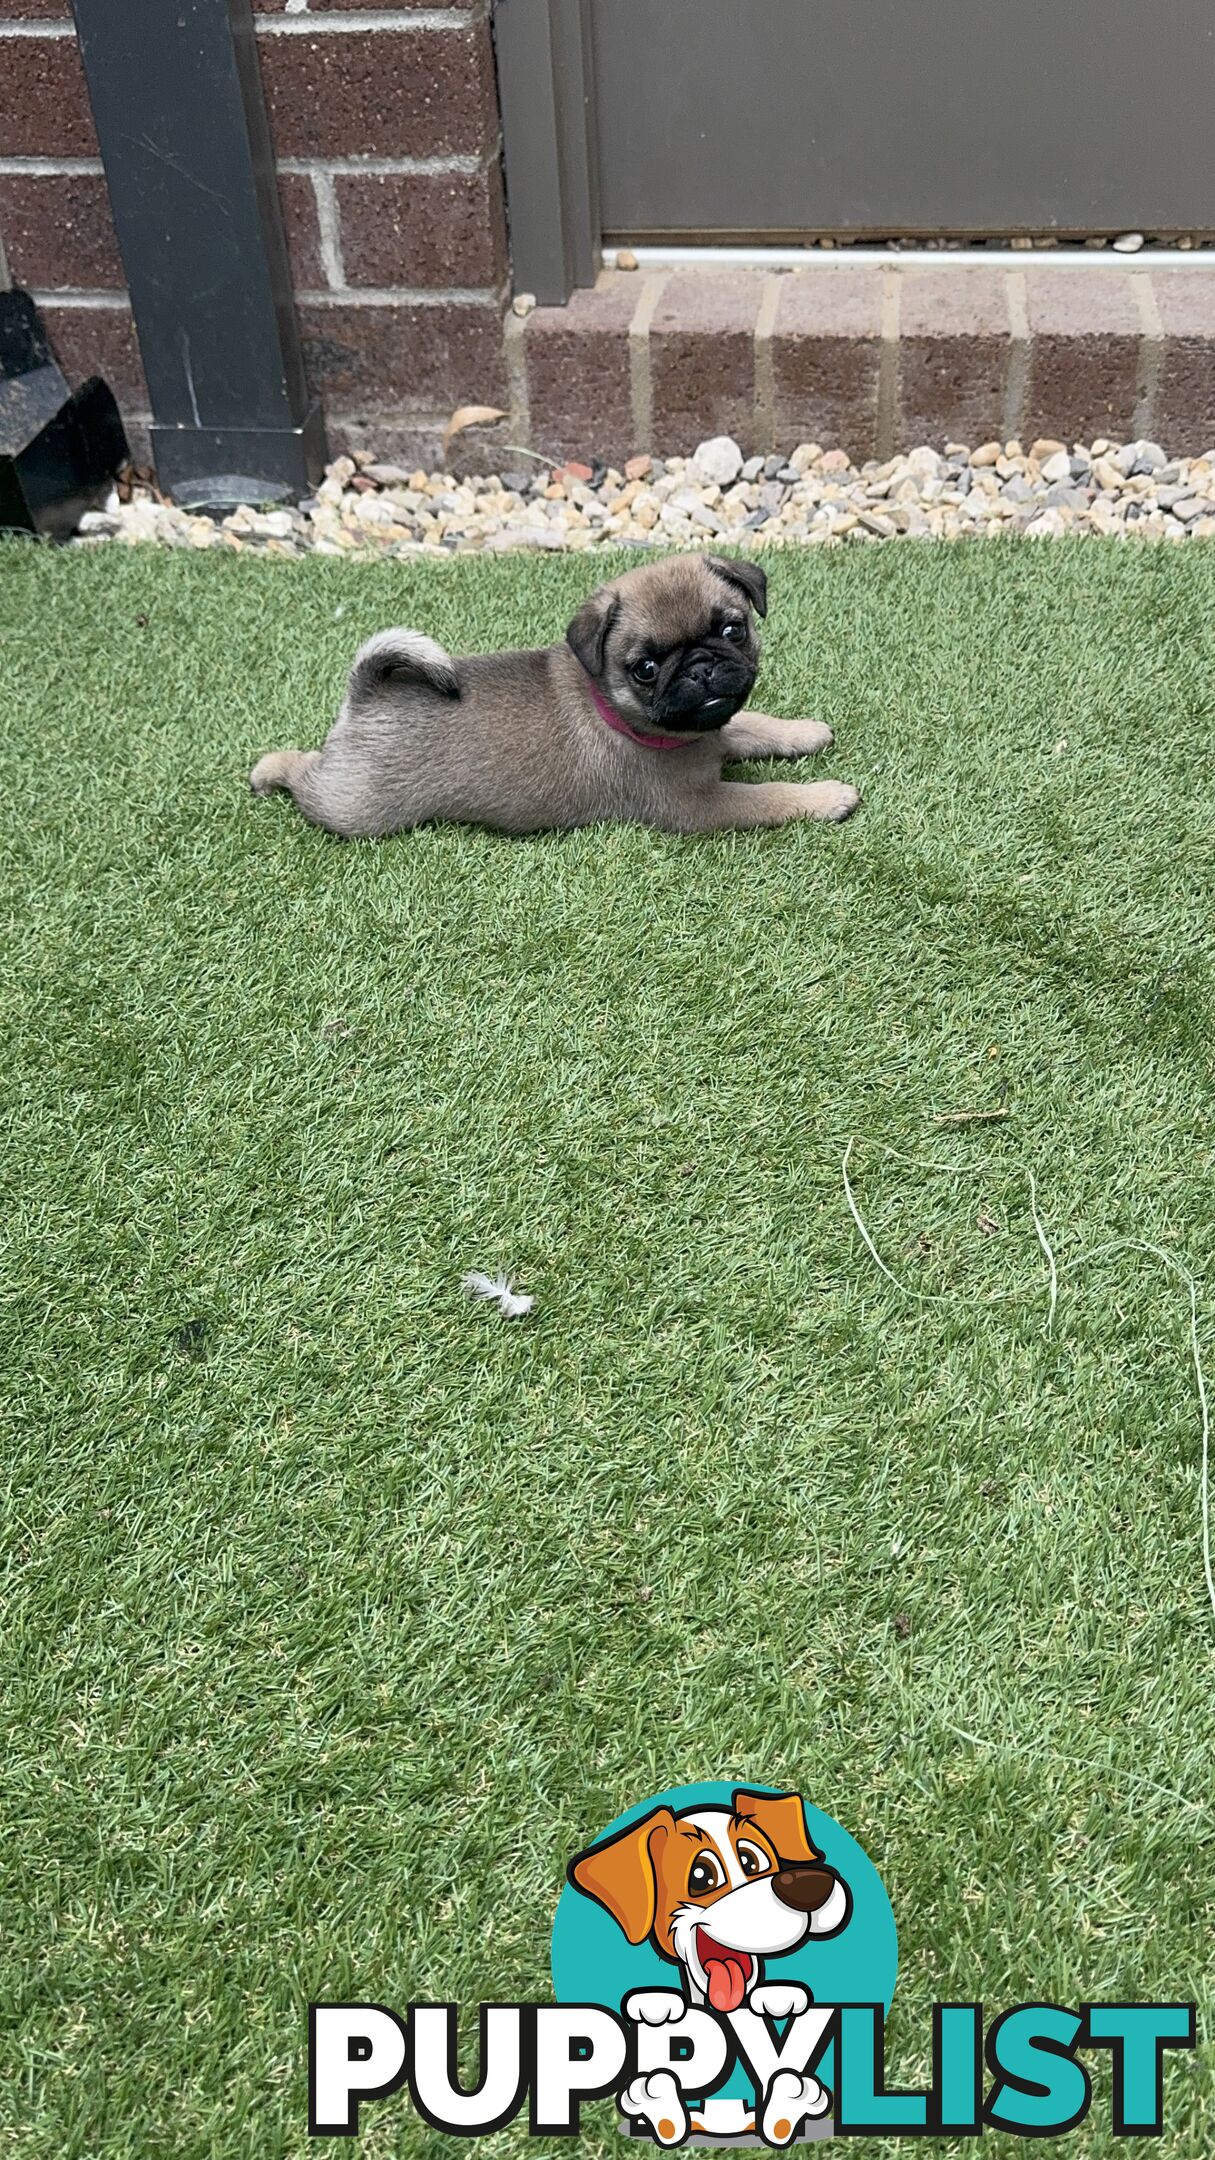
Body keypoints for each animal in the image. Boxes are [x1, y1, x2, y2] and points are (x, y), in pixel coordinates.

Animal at [248, 552, 851, 838]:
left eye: (733, 630)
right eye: (646, 669)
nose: (701, 670)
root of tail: (368, 697)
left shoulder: (716, 727)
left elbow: (754, 724)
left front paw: (804, 731)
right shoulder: (698, 806)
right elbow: (767, 797)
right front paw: (826, 796)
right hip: (353, 810)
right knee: (308, 779)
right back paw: (269, 769)